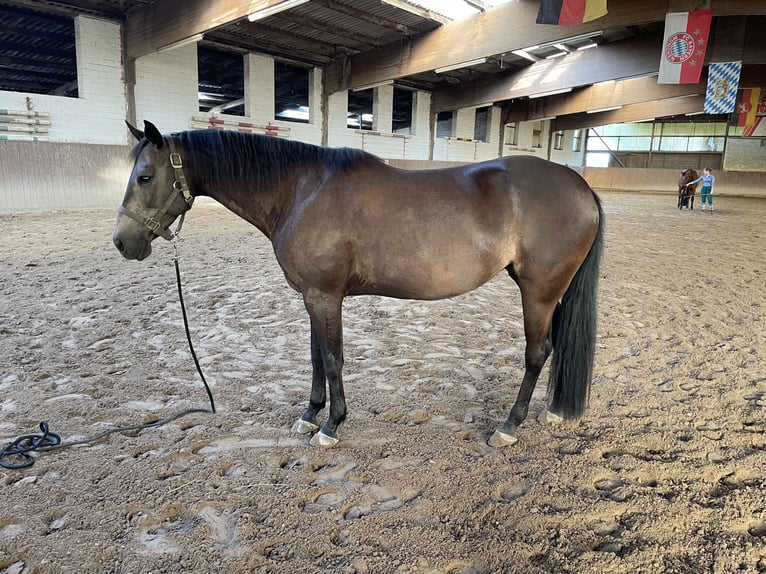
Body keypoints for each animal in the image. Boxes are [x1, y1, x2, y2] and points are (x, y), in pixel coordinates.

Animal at [114, 122, 608, 450]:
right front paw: (309, 415)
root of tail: (579, 185)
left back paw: (508, 426)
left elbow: (333, 359)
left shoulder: (325, 296)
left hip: (538, 292)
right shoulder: (312, 297)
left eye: (145, 176)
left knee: (537, 353)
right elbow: (316, 357)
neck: (301, 191)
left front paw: (332, 425)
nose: (122, 242)